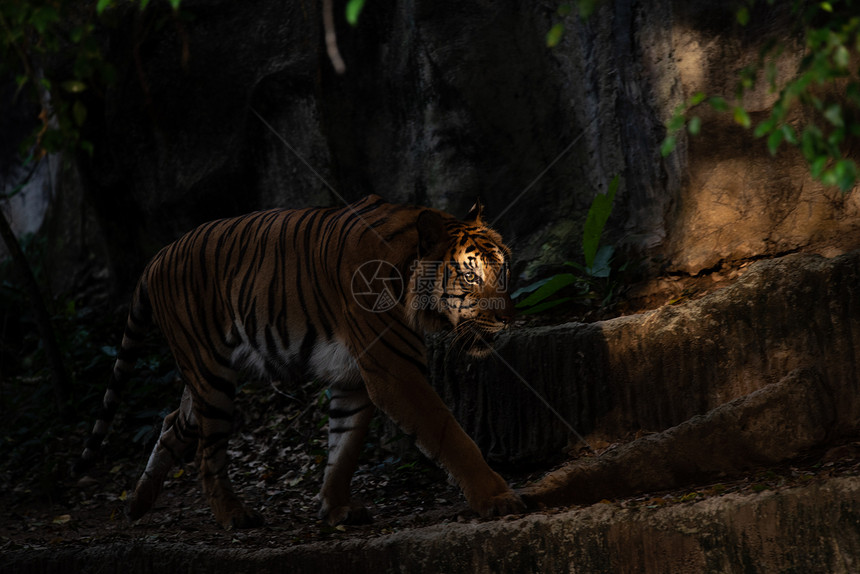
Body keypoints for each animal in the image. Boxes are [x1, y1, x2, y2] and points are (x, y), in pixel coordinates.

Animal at [77, 195, 524, 532]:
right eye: (470, 277)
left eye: (503, 270)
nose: (507, 319)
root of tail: (157, 257)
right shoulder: (393, 373)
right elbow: (451, 435)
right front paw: (497, 497)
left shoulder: (353, 378)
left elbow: (344, 446)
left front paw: (335, 508)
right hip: (211, 377)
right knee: (208, 455)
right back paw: (234, 516)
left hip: (201, 382)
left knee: (173, 422)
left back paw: (136, 503)